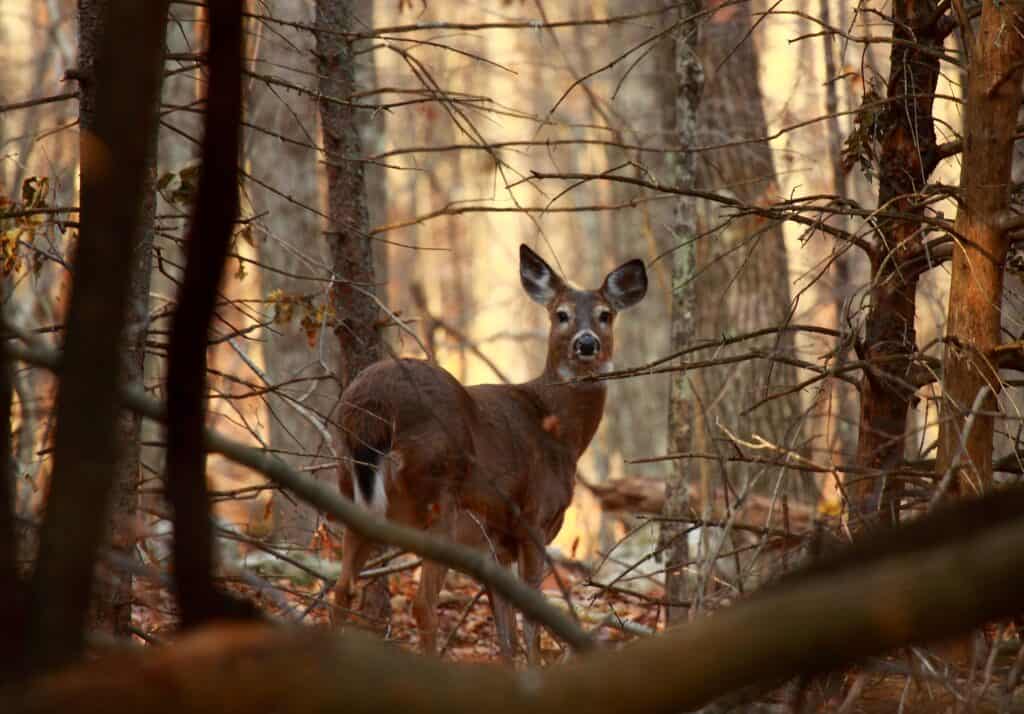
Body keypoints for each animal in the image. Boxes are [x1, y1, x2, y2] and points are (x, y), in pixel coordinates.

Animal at [331, 242, 643, 659]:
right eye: (560, 314)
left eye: (605, 314)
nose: (587, 343)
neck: (561, 432)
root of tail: (370, 409)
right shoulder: (533, 520)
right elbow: (530, 619)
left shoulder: (494, 546)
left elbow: (506, 629)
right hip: (438, 496)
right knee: (422, 604)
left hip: (352, 491)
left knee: (342, 589)